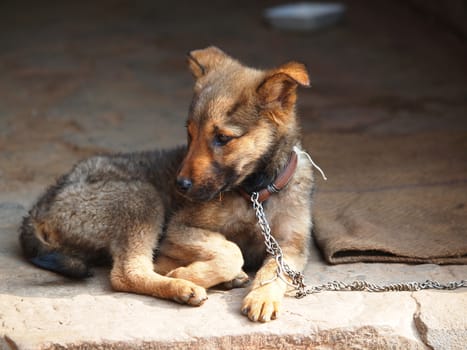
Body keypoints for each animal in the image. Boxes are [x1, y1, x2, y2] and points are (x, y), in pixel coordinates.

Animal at [20, 47, 316, 322]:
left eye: (222, 138)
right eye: (190, 133)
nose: (180, 185)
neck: (255, 193)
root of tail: (42, 204)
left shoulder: (291, 245)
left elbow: (274, 270)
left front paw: (262, 297)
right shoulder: (179, 227)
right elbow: (231, 250)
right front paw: (191, 274)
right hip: (141, 198)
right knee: (127, 273)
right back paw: (183, 286)